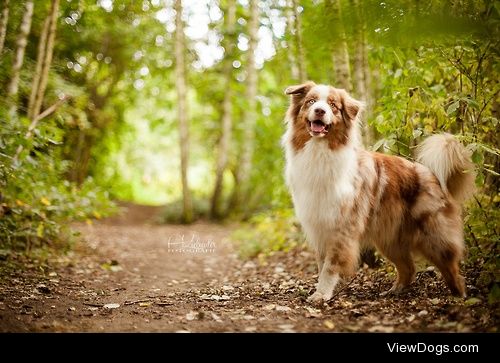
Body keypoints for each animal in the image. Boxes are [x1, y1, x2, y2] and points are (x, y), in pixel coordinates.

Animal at [284, 82, 474, 304]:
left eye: (332, 105)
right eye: (311, 101)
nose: (320, 111)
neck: (320, 152)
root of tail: (433, 175)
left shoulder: (342, 227)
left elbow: (330, 266)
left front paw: (322, 294)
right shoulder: (320, 225)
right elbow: (322, 264)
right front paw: (321, 291)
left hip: (434, 236)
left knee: (452, 269)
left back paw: (459, 297)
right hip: (390, 239)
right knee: (409, 267)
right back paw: (395, 291)